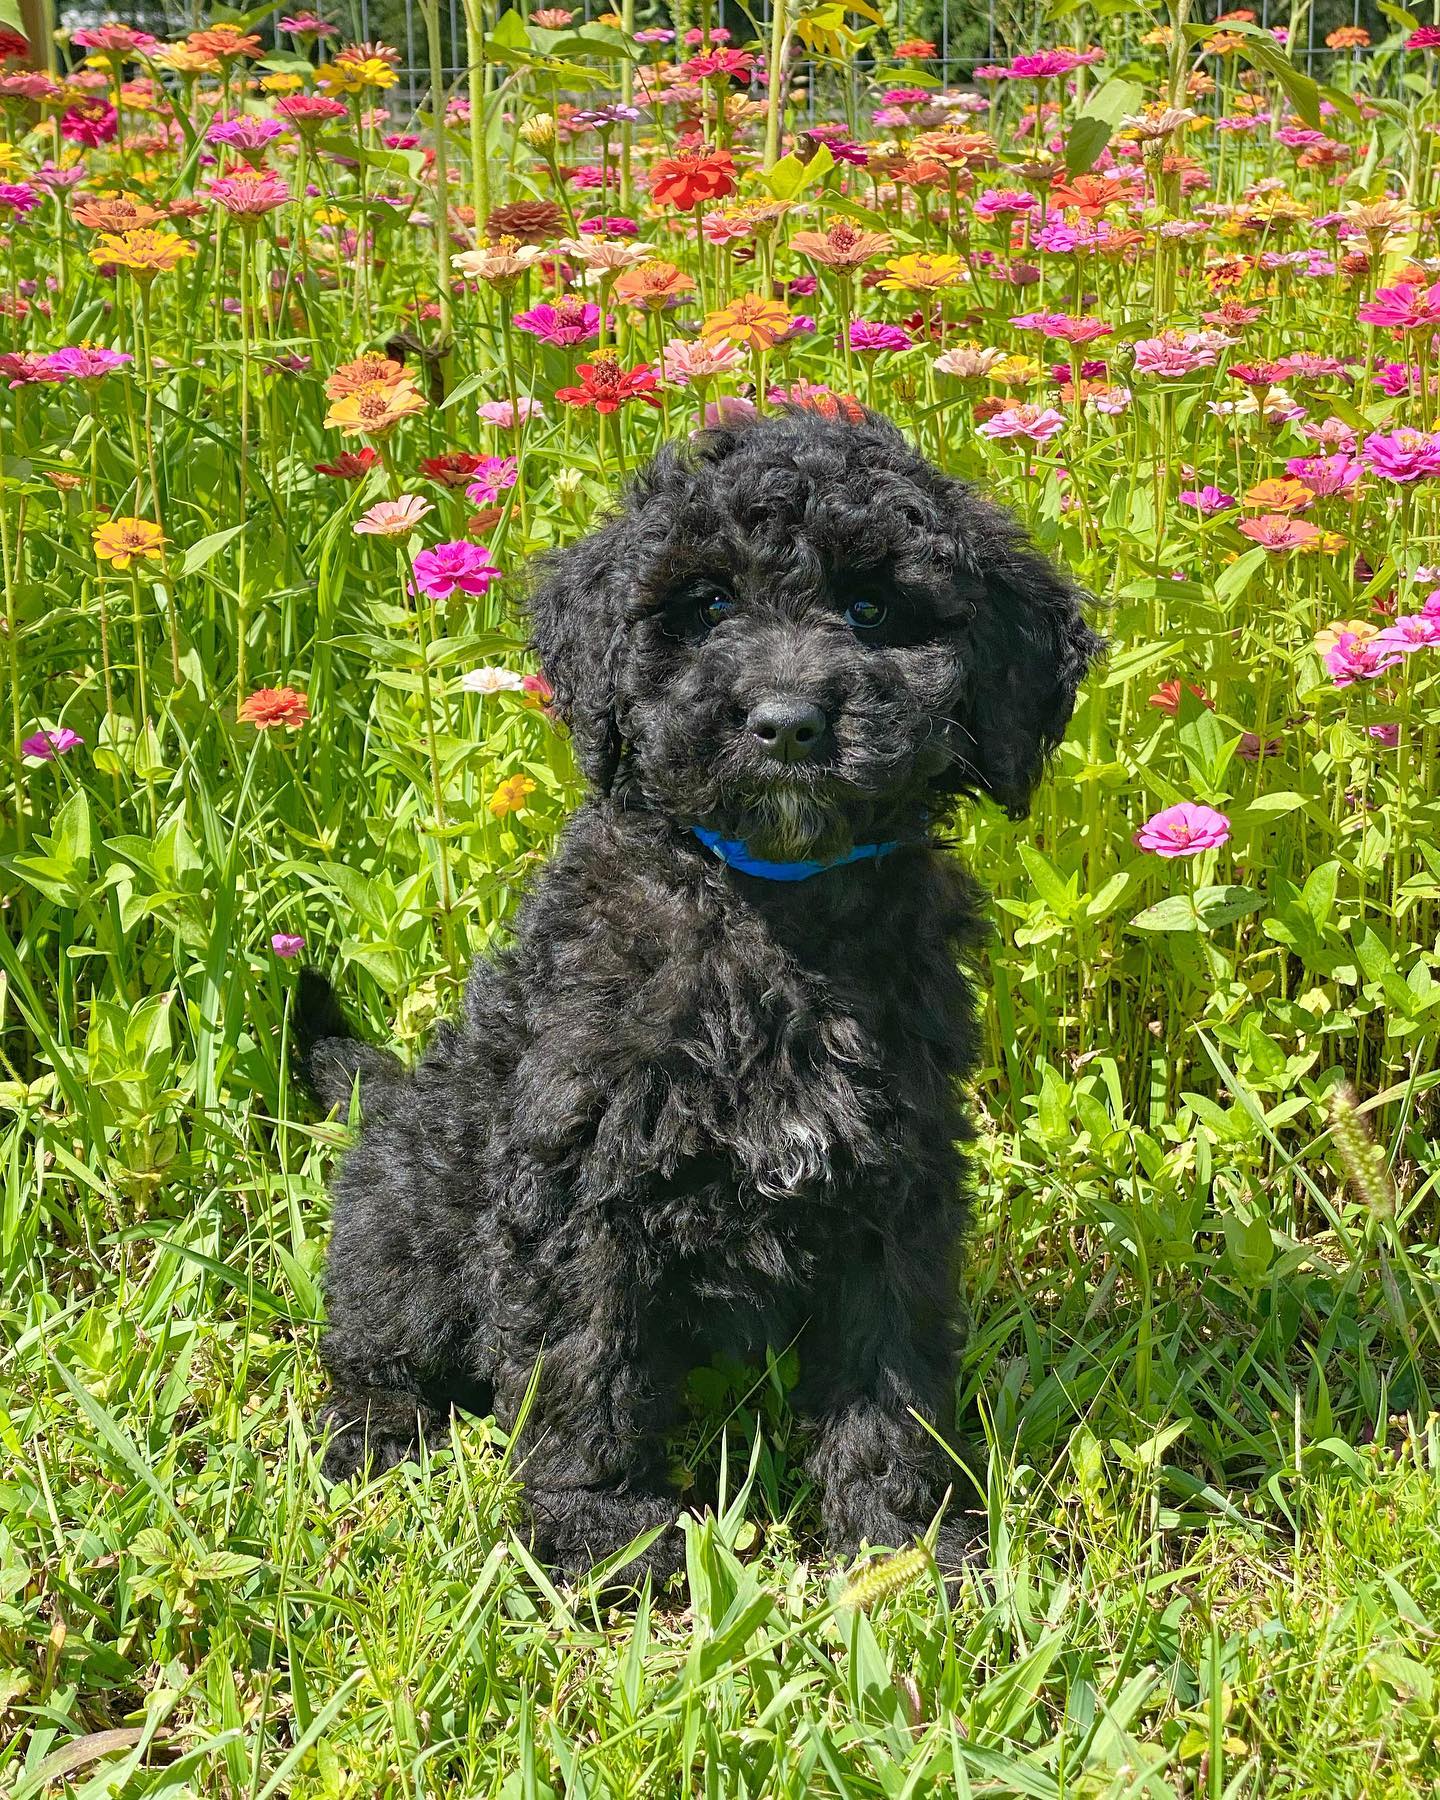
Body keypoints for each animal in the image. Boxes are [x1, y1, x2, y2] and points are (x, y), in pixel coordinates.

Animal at [295, 405, 1101, 1576]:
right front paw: (602, 1538)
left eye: (872, 609)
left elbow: (889, 1369)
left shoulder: (894, 1179)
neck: (769, 901)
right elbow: (586, 1363)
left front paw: (900, 1544)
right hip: (411, 1217)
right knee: (380, 1345)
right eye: (708, 605)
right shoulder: (582, 1176)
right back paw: (374, 1435)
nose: (787, 722)